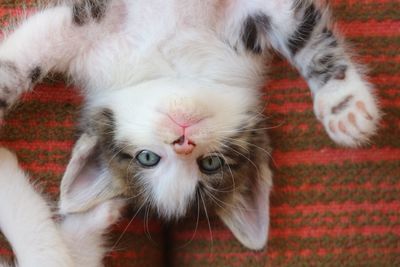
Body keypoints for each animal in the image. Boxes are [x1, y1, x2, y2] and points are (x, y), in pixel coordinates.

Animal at [0, 0, 380, 251]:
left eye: (210, 163)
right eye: (147, 158)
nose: (182, 140)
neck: (175, 64)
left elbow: (302, 32)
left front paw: (344, 105)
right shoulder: (93, 27)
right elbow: (27, 55)